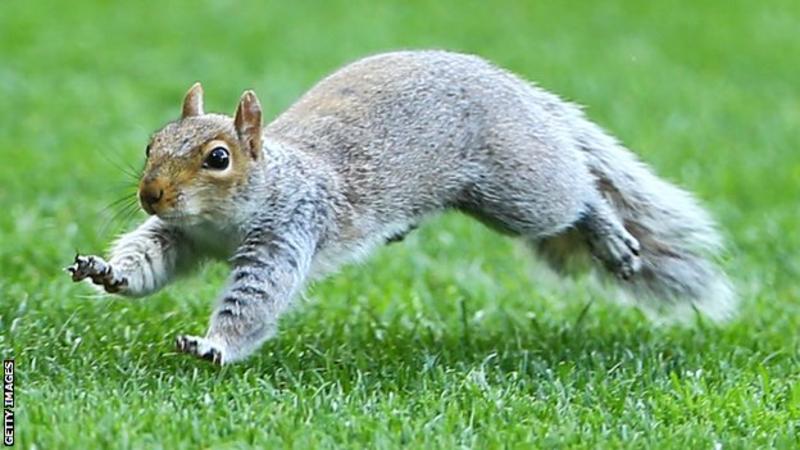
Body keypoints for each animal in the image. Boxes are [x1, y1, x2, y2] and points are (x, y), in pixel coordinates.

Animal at [69, 50, 736, 366]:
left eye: (217, 158)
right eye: (151, 144)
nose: (151, 194)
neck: (221, 220)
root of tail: (510, 88)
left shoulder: (288, 231)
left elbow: (255, 298)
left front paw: (214, 346)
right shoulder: (179, 235)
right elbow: (149, 259)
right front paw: (107, 271)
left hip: (516, 188)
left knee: (575, 195)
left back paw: (606, 228)